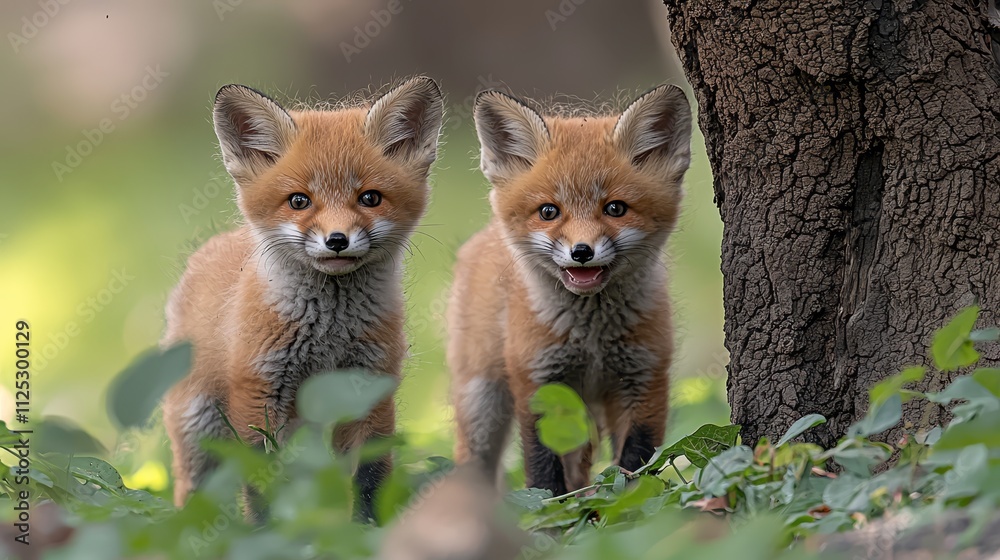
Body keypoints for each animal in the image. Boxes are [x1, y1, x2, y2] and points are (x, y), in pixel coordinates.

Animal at [161, 76, 443, 522]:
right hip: (198, 423)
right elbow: (262, 484)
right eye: (299, 201)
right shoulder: (259, 391)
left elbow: (369, 478)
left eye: (370, 198)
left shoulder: (367, 387)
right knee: (194, 488)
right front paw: (266, 532)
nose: (337, 240)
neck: (328, 331)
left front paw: (365, 529)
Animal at [448, 85, 692, 495]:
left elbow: (635, 464)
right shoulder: (538, 380)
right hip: (483, 400)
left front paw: (621, 503)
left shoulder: (645, 377)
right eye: (549, 211)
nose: (581, 252)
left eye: (615, 208)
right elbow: (543, 469)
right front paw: (551, 510)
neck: (591, 339)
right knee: (473, 463)